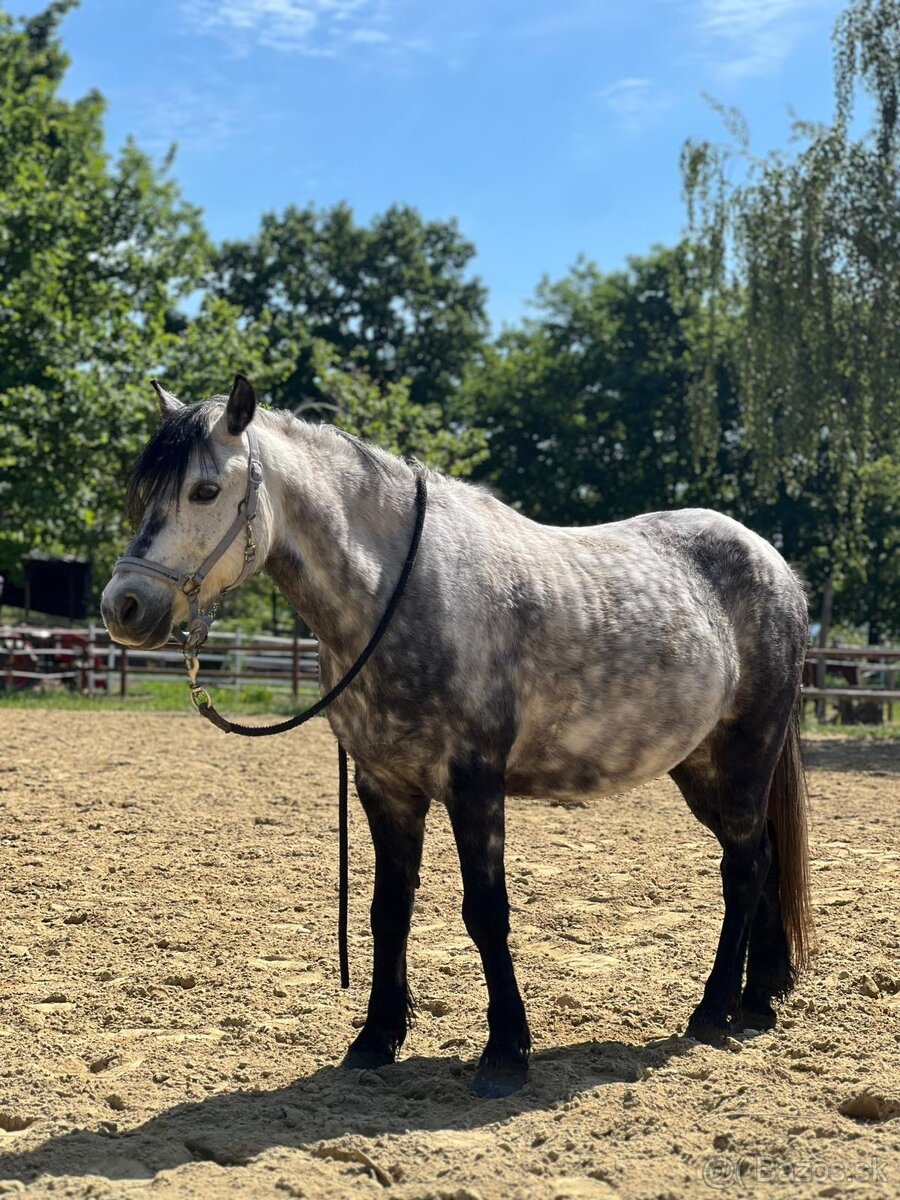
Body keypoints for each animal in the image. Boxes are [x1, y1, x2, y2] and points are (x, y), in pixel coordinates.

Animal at [100, 375, 814, 1098]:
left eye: (205, 490)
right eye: (144, 494)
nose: (122, 606)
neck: (401, 591)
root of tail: (776, 567)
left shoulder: (475, 785)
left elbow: (486, 911)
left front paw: (505, 1054)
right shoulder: (386, 788)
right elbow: (388, 909)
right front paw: (376, 1038)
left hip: (743, 755)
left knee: (744, 868)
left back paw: (713, 1011)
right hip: (702, 768)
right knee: (764, 858)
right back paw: (758, 1001)